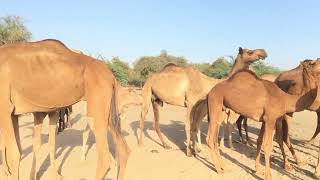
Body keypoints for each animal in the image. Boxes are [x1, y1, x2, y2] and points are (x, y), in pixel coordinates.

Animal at [0, 39, 131, 180]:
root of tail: (111, 76)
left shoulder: (5, 109)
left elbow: (14, 153)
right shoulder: (14, 113)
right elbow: (21, 148)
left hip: (97, 105)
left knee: (105, 158)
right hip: (109, 109)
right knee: (124, 149)